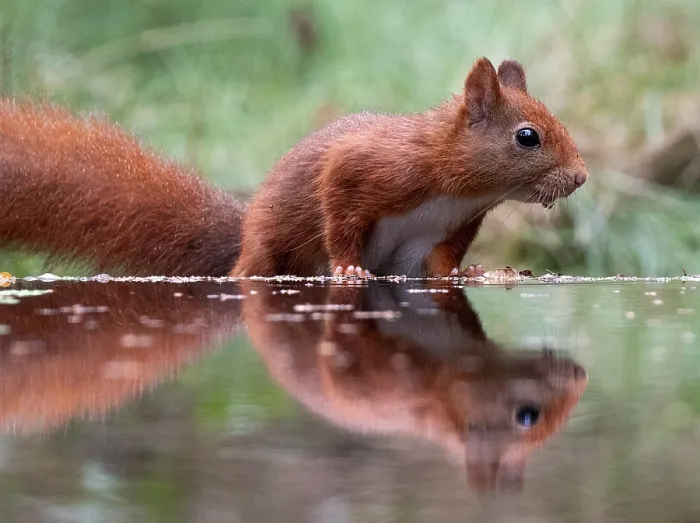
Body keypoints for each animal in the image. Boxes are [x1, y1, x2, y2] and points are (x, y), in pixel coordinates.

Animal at [0, 57, 587, 278]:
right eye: (528, 137)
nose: (581, 177)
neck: (454, 189)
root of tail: (242, 240)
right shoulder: (368, 167)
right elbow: (339, 213)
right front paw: (348, 268)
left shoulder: (451, 227)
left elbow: (441, 263)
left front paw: (472, 272)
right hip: (266, 249)